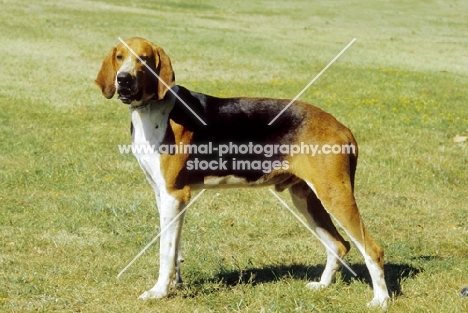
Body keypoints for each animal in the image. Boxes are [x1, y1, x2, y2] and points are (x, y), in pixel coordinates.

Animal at [95, 37, 392, 308]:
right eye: (120, 57)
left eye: (143, 59)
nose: (123, 80)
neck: (152, 109)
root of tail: (341, 126)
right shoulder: (165, 196)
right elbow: (174, 247)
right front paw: (174, 284)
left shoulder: (174, 195)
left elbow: (165, 252)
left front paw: (159, 291)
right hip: (306, 198)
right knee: (338, 245)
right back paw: (322, 285)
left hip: (335, 196)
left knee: (372, 249)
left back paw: (381, 299)